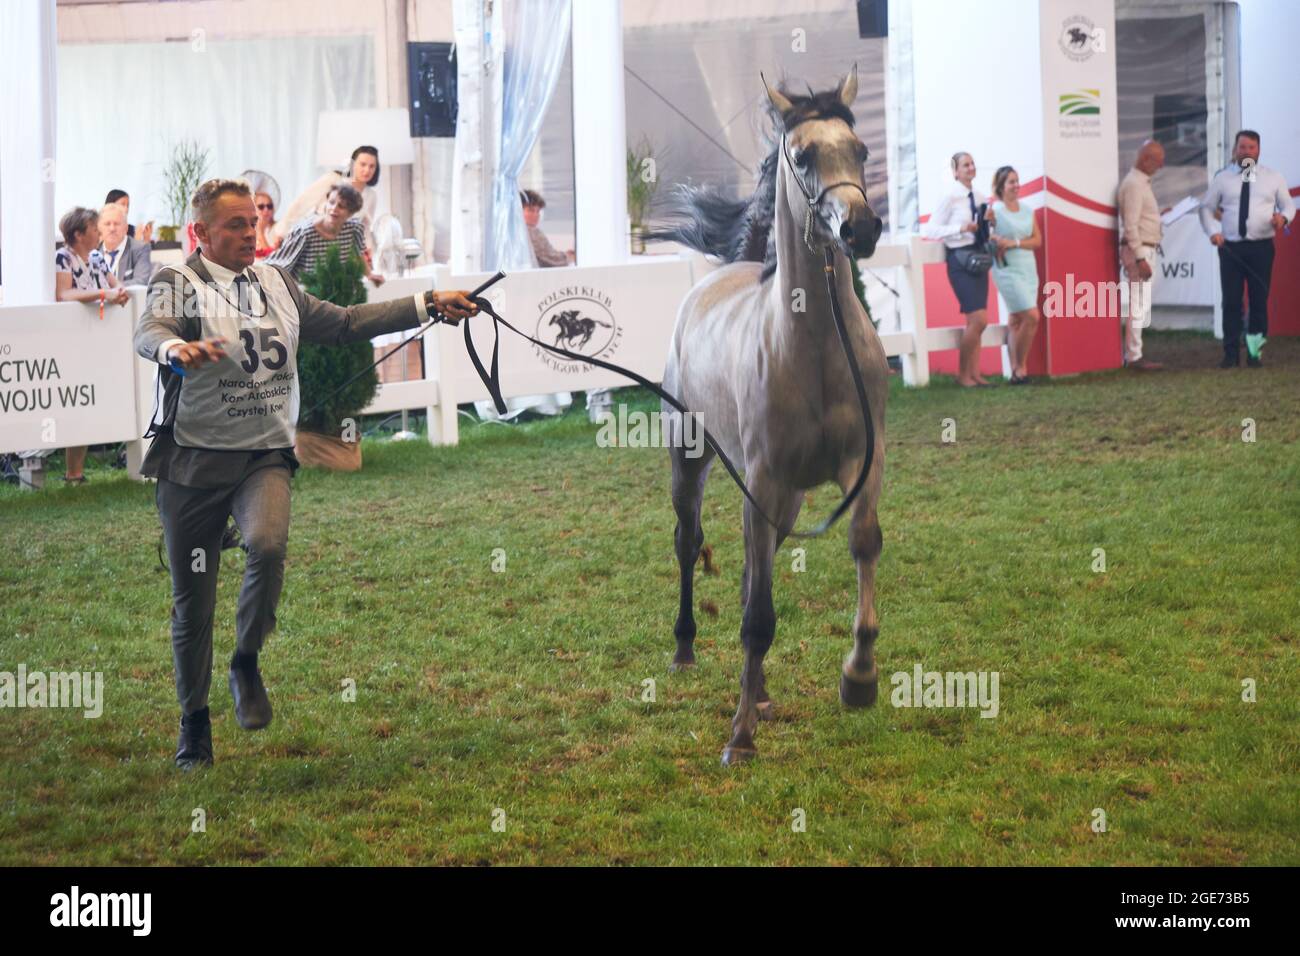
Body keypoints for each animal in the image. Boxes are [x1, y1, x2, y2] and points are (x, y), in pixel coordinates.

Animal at [655, 67, 889, 764]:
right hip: (694, 464)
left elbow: (863, 542)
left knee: (751, 572)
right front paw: (740, 738)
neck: (813, 350)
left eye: (861, 150)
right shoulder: (759, 482)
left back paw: (757, 691)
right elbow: (757, 614)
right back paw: (686, 651)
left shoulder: (861, 467)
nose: (860, 229)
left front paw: (858, 679)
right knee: (690, 544)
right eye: (804, 156)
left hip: (784, 502)